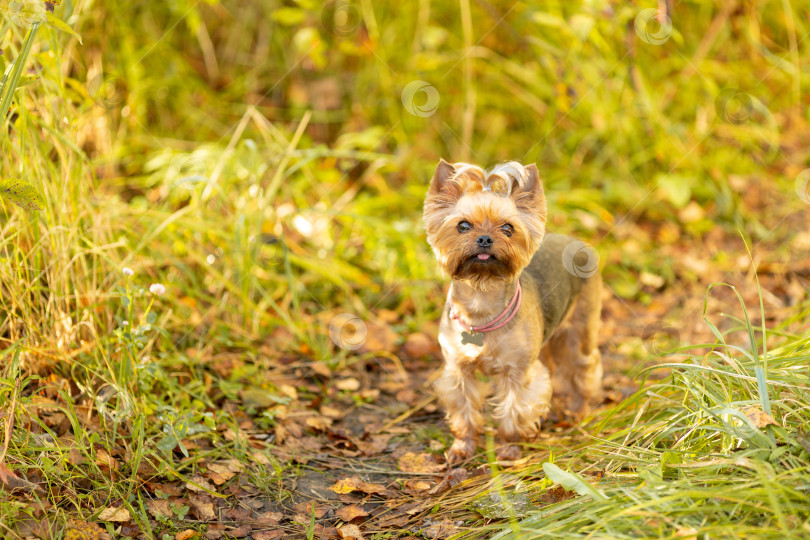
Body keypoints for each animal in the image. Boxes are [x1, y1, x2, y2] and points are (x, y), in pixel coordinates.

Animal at [422, 158, 600, 462]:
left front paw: (509, 448)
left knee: (584, 369)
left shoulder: (518, 372)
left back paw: (578, 412)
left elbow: (514, 410)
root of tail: (575, 241)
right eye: (463, 226)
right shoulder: (458, 371)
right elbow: (464, 411)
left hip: (579, 333)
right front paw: (463, 446)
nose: (484, 239)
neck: (481, 302)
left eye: (507, 228)